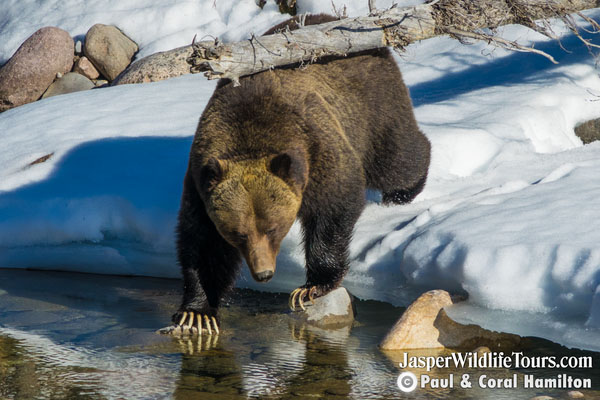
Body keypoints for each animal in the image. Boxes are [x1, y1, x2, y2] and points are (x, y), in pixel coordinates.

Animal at [169, 14, 432, 334]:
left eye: (272, 228)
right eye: (238, 233)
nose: (264, 273)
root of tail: (335, 19)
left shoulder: (317, 150)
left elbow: (334, 208)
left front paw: (311, 287)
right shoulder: (200, 183)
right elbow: (202, 244)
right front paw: (196, 312)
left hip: (371, 106)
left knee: (396, 158)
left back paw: (404, 191)